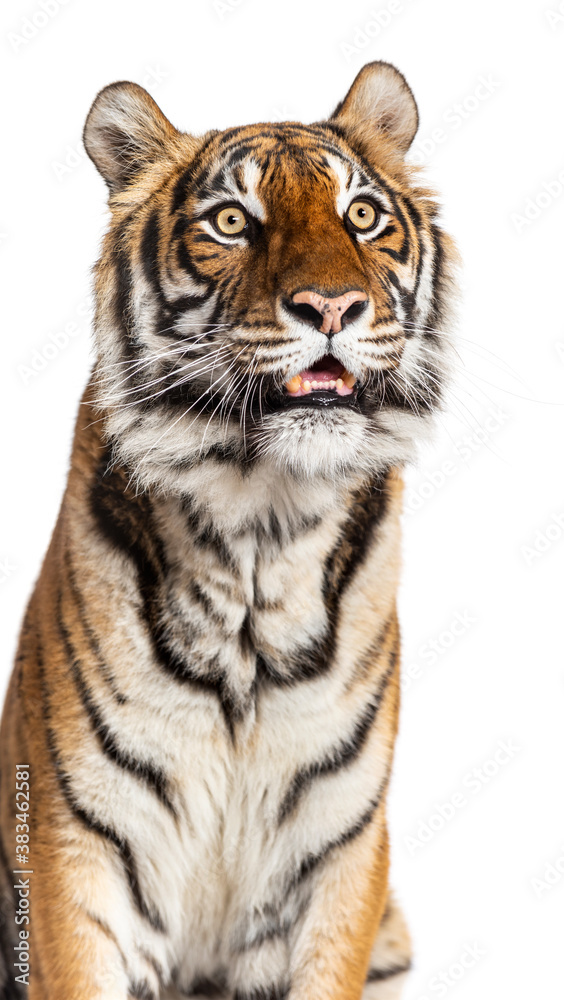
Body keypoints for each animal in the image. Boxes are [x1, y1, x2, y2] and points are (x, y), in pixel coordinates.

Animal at [0, 60, 456, 1000]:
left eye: (362, 215)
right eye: (232, 222)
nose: (332, 306)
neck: (262, 527)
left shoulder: (336, 852)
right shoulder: (75, 850)